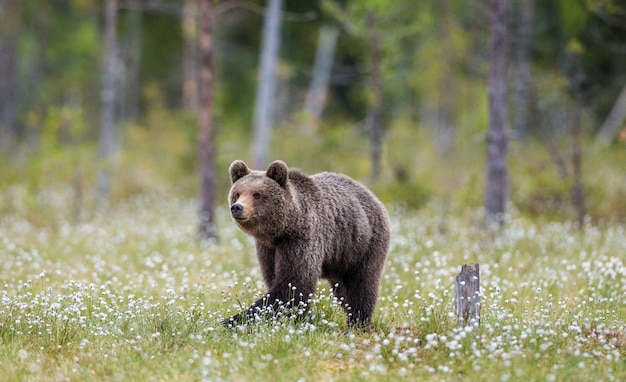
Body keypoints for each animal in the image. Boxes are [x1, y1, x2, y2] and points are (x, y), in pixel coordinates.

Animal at [223, 160, 390, 326]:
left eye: (257, 194)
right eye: (237, 193)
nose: (237, 207)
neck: (282, 230)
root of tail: (370, 193)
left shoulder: (302, 239)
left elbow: (294, 283)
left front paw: (231, 319)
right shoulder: (268, 249)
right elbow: (275, 277)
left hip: (364, 244)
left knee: (362, 284)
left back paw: (358, 321)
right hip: (342, 257)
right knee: (343, 290)